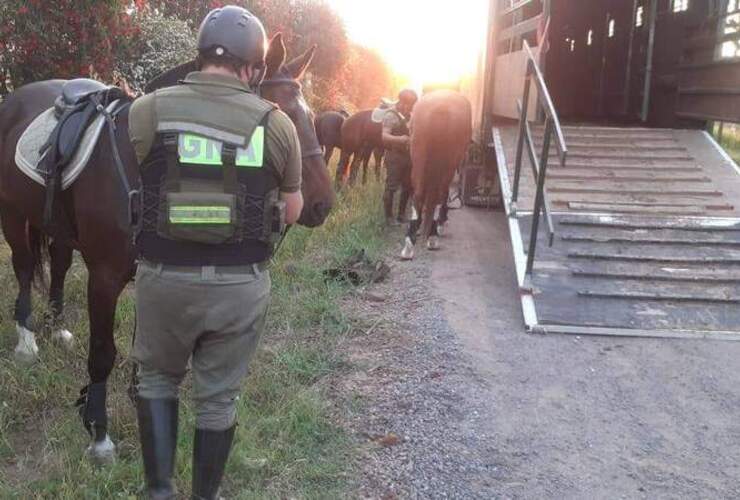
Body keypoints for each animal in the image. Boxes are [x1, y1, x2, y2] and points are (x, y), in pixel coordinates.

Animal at [0, 34, 332, 464]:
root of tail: (14, 99)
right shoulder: (104, 278)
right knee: (24, 267)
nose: (322, 205)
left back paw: (57, 328)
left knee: (55, 264)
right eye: (285, 118)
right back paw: (27, 342)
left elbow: (147, 350)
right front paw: (99, 434)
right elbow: (103, 352)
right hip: (12, 214)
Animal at [402, 90, 472, 260]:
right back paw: (432, 236)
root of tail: (441, 109)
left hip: (419, 160)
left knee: (419, 196)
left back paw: (410, 244)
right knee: (438, 195)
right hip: (445, 167)